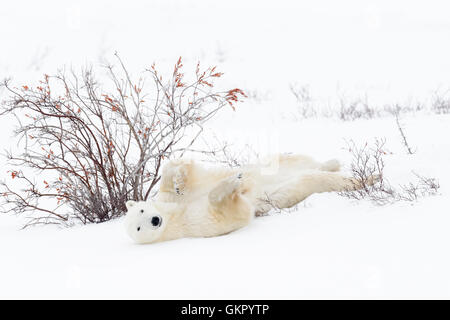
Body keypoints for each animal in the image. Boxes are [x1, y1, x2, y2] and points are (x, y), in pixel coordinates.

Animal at [125, 154, 378, 244]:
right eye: (138, 228)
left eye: (142, 211)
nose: (155, 221)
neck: (175, 214)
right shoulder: (194, 224)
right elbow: (234, 211)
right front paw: (233, 185)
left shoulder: (175, 197)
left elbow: (176, 172)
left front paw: (178, 178)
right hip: (292, 188)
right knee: (316, 179)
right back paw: (369, 178)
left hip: (275, 163)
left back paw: (335, 163)